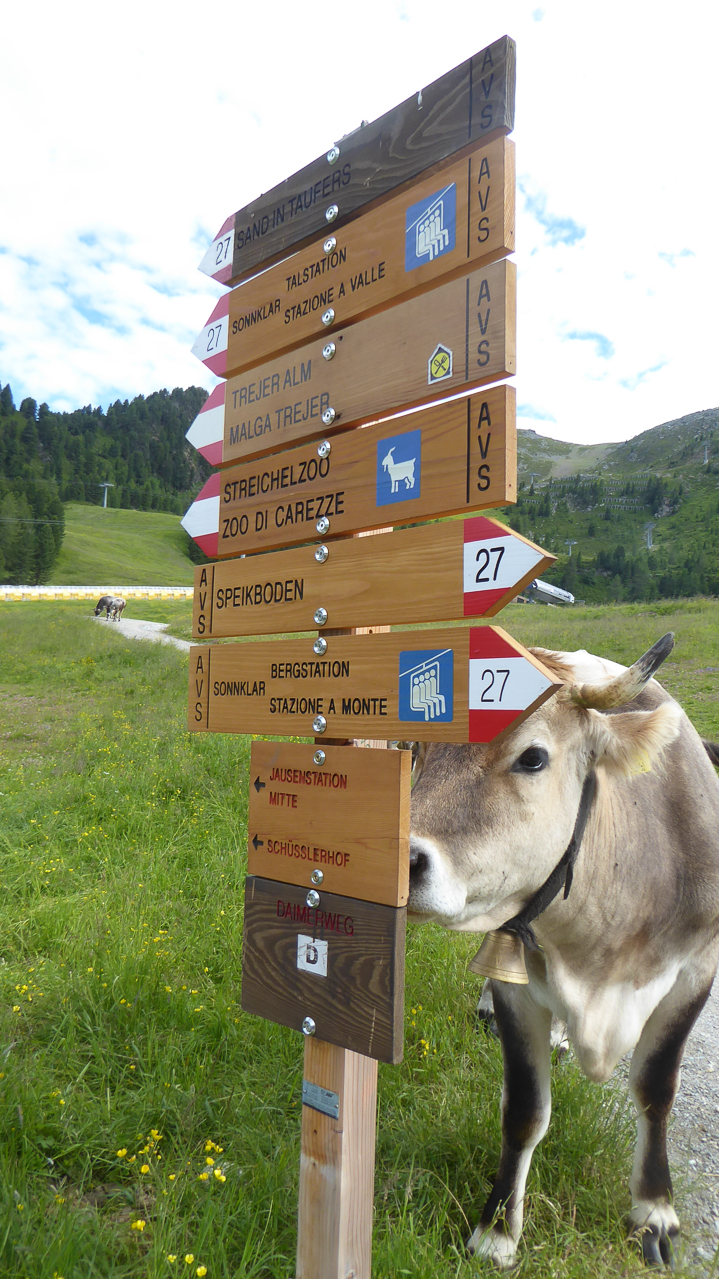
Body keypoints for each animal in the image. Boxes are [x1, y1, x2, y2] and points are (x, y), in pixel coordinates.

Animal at [408, 634, 719, 1270]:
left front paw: (655, 1210)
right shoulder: (518, 985)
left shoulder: (697, 971)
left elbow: (656, 1089)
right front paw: (497, 1231)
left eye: (532, 758)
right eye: (421, 748)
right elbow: (525, 1110)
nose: (401, 860)